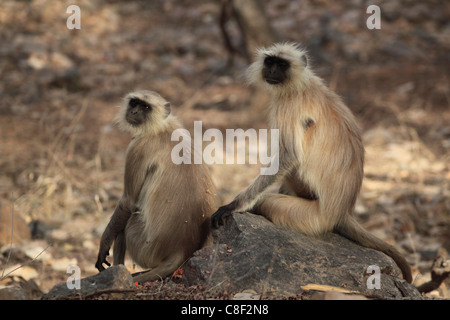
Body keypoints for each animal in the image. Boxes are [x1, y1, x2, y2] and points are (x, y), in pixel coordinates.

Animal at [95, 90, 216, 282]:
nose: (134, 112)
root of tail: (182, 248)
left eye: (146, 107)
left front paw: (104, 244)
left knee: (126, 223)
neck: (160, 127)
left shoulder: (137, 147)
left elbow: (128, 202)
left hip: (143, 246)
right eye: (134, 103)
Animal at [213, 42, 414, 282]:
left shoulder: (288, 105)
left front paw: (233, 205)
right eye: (270, 62)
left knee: (269, 200)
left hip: (312, 217)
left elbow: (288, 156)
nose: (272, 71)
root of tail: (341, 211)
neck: (301, 84)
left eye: (282, 64)